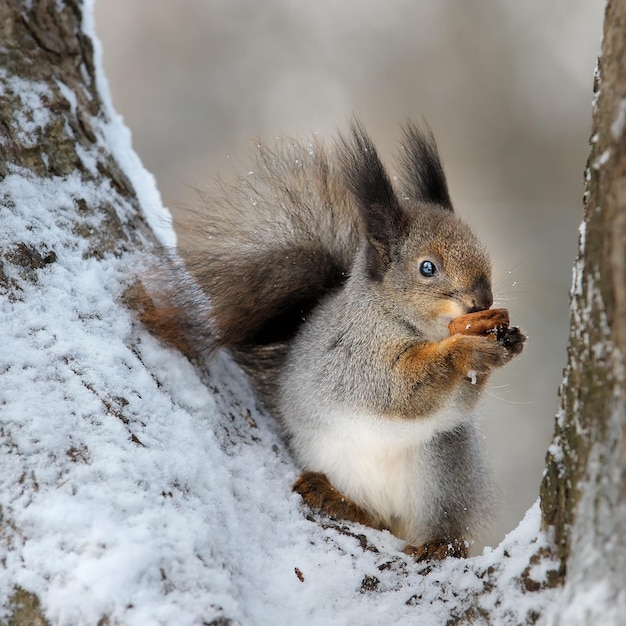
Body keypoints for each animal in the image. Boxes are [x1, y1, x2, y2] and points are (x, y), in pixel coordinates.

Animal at [140, 119, 520, 560]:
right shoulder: (354, 356)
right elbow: (398, 390)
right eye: (427, 268)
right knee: (372, 516)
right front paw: (466, 350)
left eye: (481, 249)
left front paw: (508, 341)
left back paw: (439, 542)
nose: (482, 300)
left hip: (443, 470)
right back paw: (336, 498)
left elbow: (457, 403)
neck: (411, 325)